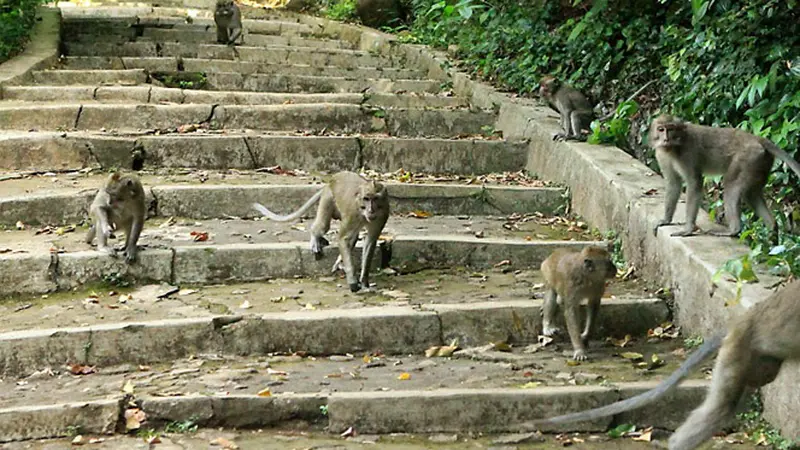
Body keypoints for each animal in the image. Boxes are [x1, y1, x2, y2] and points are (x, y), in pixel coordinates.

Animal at [250, 171, 388, 294]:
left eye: (375, 198)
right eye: (366, 199)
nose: (371, 210)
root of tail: (330, 181)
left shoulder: (381, 216)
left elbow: (370, 241)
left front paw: (364, 282)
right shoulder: (353, 214)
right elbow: (343, 238)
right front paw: (352, 281)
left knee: (353, 236)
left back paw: (339, 261)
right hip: (328, 198)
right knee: (323, 226)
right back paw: (315, 237)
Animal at [648, 112, 800, 239]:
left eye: (670, 129)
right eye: (661, 129)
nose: (666, 139)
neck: (673, 147)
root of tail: (756, 138)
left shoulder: (687, 153)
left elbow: (694, 183)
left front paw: (688, 229)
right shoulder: (661, 155)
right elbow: (673, 183)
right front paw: (666, 220)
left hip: (748, 158)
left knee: (731, 186)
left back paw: (734, 230)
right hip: (761, 162)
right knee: (751, 194)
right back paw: (772, 230)